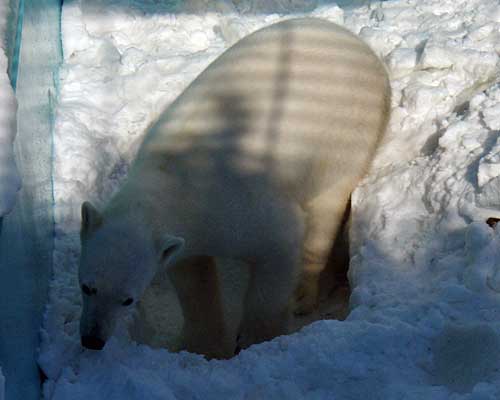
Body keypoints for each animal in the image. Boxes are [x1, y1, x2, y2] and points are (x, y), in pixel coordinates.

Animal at [78, 17, 390, 358]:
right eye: (86, 286)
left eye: (128, 299)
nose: (92, 340)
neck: (176, 173)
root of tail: (363, 47)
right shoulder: (192, 230)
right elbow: (193, 277)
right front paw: (201, 345)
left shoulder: (240, 204)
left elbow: (279, 249)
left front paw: (256, 340)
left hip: (348, 132)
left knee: (326, 207)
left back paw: (303, 295)